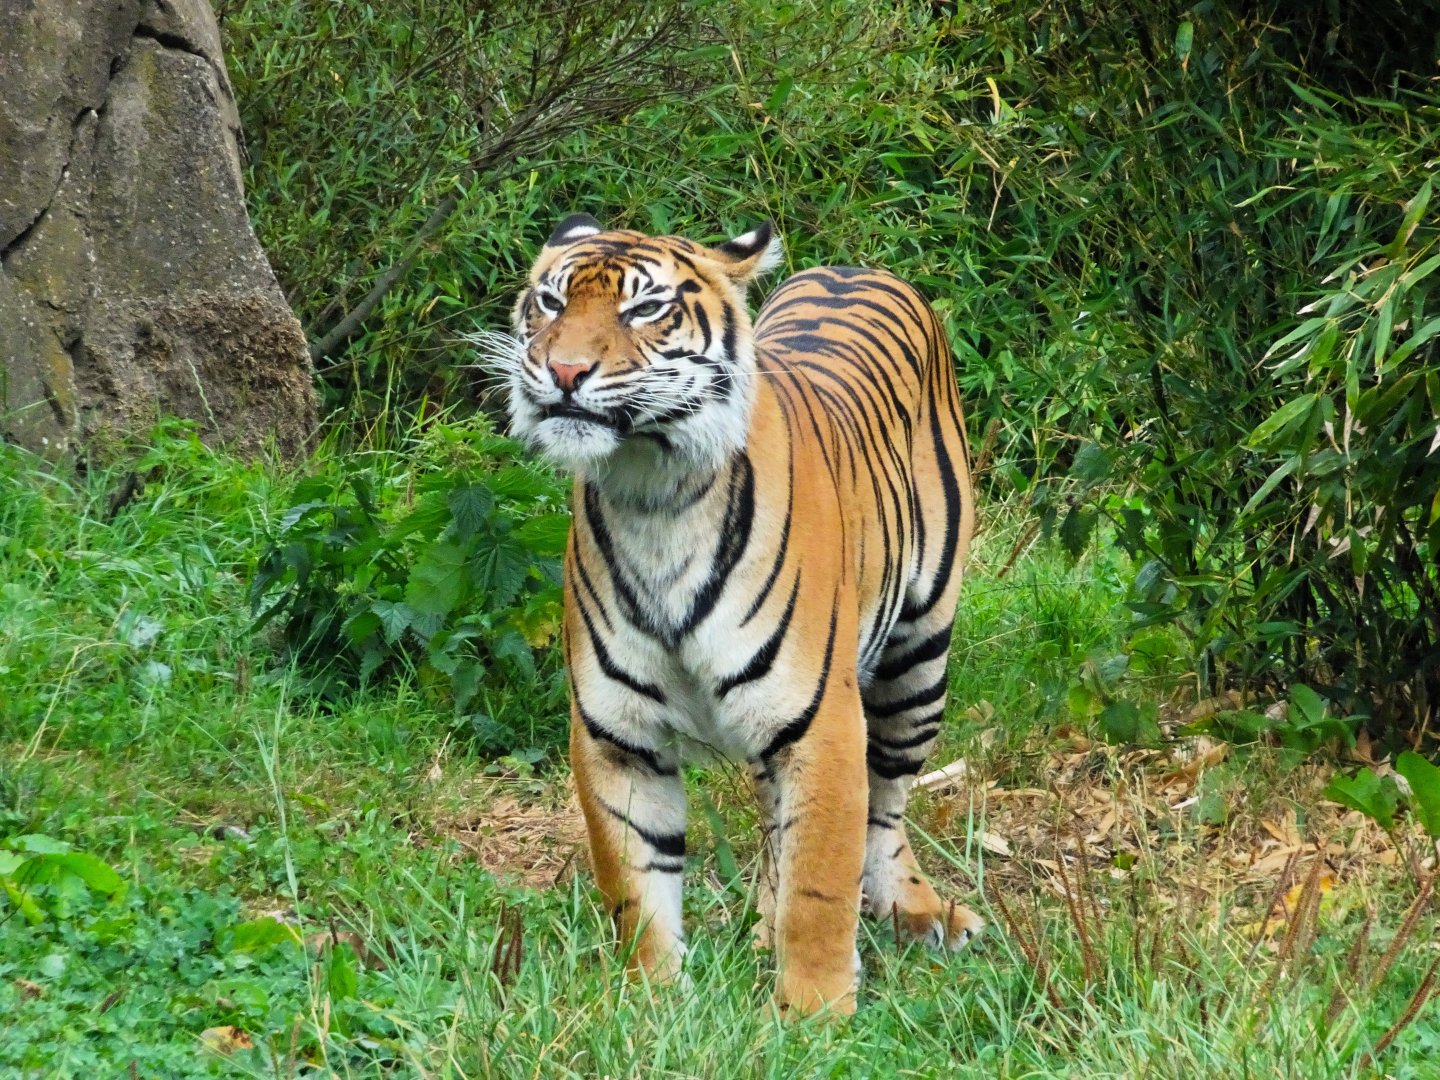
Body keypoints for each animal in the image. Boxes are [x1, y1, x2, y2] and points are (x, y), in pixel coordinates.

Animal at [495, 213, 982, 1016]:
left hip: (918, 659)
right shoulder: (616, 734)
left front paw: (815, 1014)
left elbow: (822, 880)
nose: (563, 372)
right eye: (551, 302)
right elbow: (636, 884)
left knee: (886, 803)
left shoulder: (821, 722)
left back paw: (914, 910)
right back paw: (762, 924)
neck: (652, 493)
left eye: (644, 309)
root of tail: (854, 268)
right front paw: (652, 1002)